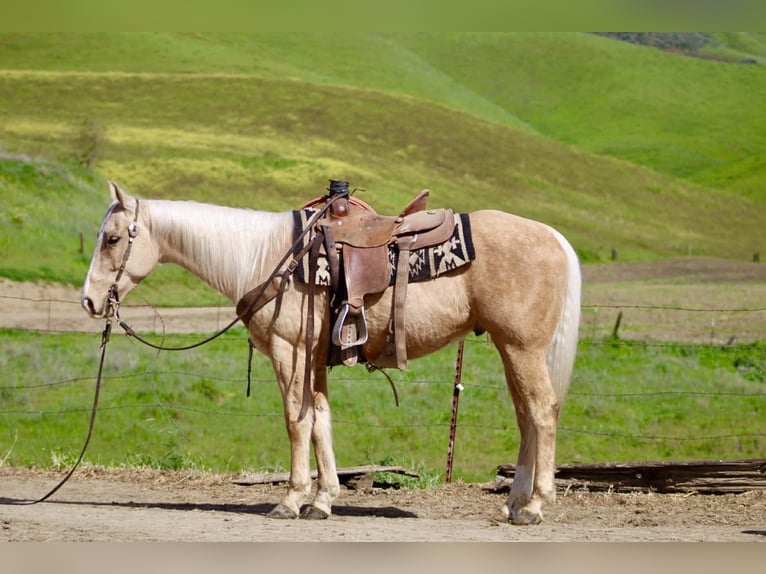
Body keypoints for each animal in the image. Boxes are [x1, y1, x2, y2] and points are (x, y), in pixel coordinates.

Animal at [81, 180, 581, 525]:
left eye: (112, 238)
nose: (89, 301)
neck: (267, 258)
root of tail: (554, 237)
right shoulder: (315, 359)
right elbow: (320, 419)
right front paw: (322, 500)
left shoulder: (290, 352)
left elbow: (296, 421)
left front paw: (291, 499)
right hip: (511, 348)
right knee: (526, 416)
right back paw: (514, 502)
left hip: (521, 347)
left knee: (542, 411)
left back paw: (535, 505)